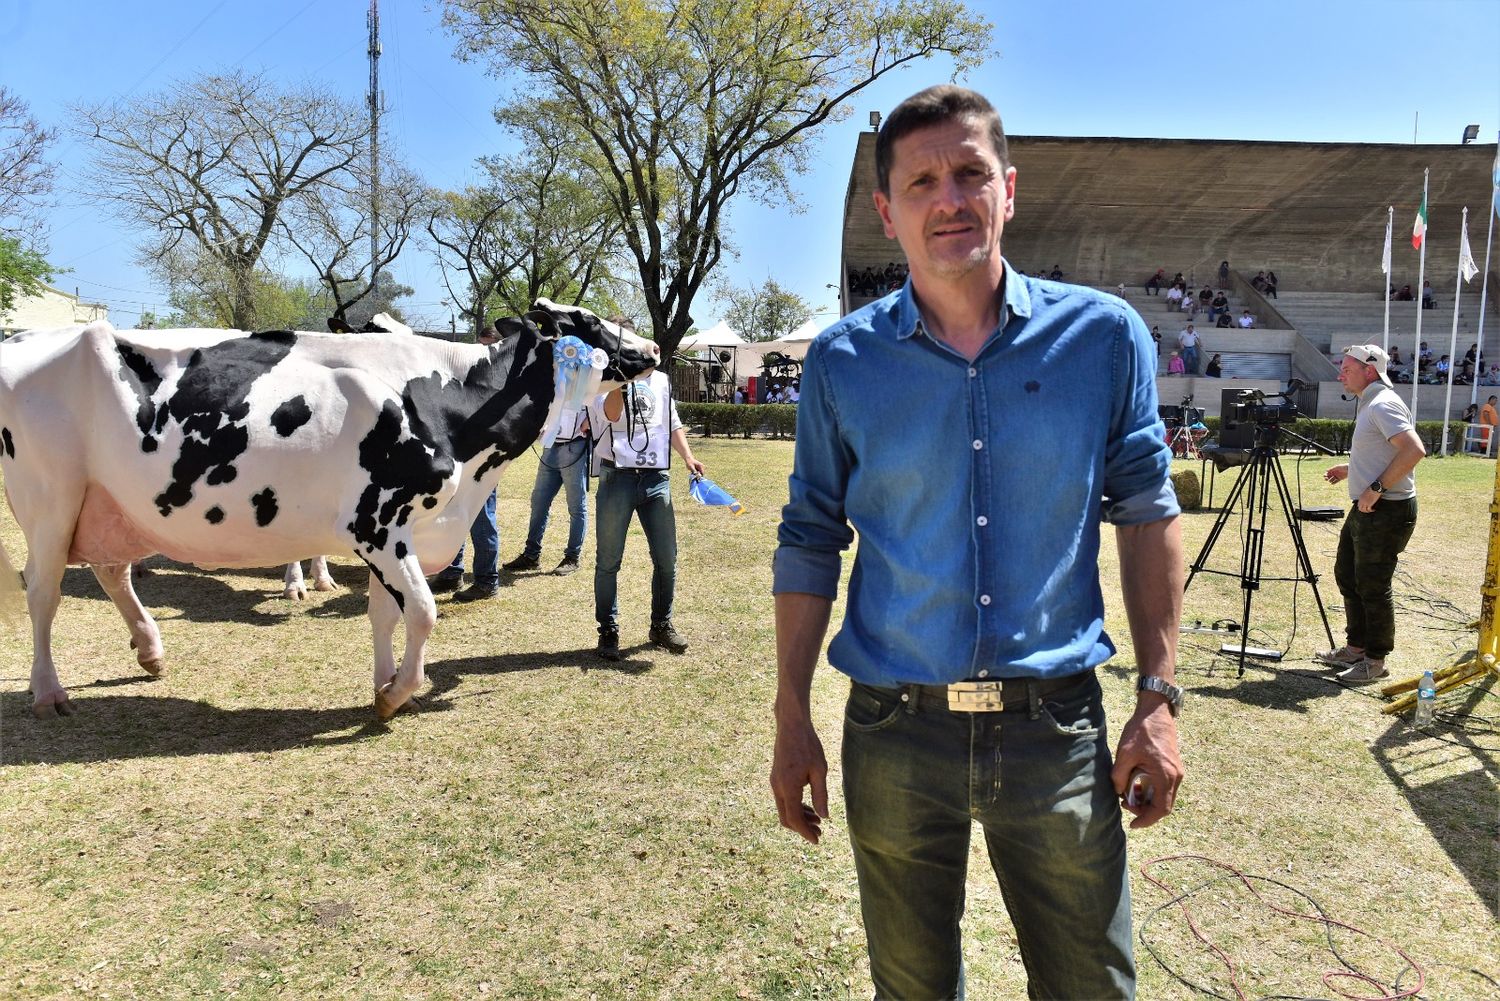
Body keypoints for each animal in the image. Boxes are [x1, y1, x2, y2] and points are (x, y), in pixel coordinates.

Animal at [0, 301, 657, 717]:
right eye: (589, 323)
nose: (652, 346)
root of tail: (31, 338)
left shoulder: (399, 533)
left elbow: (384, 615)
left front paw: (382, 684)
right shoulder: (378, 524)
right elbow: (422, 613)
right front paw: (397, 693)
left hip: (109, 504)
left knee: (112, 569)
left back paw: (151, 651)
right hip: (49, 499)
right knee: (43, 590)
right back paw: (48, 691)